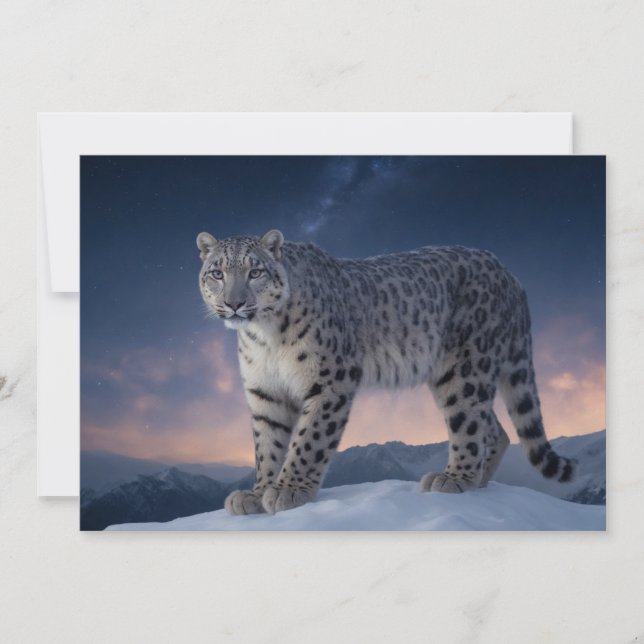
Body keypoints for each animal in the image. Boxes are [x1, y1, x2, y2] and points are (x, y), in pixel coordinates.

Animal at [197, 229, 576, 515]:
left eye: (255, 272)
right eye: (217, 273)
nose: (234, 303)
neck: (264, 336)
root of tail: (509, 273)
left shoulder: (331, 380)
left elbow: (309, 439)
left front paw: (289, 490)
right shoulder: (265, 392)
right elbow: (268, 444)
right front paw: (257, 493)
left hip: (465, 368)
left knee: (470, 422)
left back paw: (455, 479)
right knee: (494, 428)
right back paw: (476, 480)